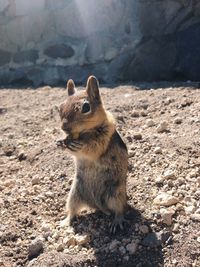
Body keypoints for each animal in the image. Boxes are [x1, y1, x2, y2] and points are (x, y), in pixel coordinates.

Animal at [57, 76, 128, 234]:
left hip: (115, 195)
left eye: (85, 107)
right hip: (74, 195)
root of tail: (96, 205)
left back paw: (117, 221)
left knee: (119, 210)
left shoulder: (104, 137)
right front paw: (60, 142)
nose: (64, 127)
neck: (83, 133)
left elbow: (93, 147)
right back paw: (65, 222)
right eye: (60, 107)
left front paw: (81, 145)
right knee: (72, 211)